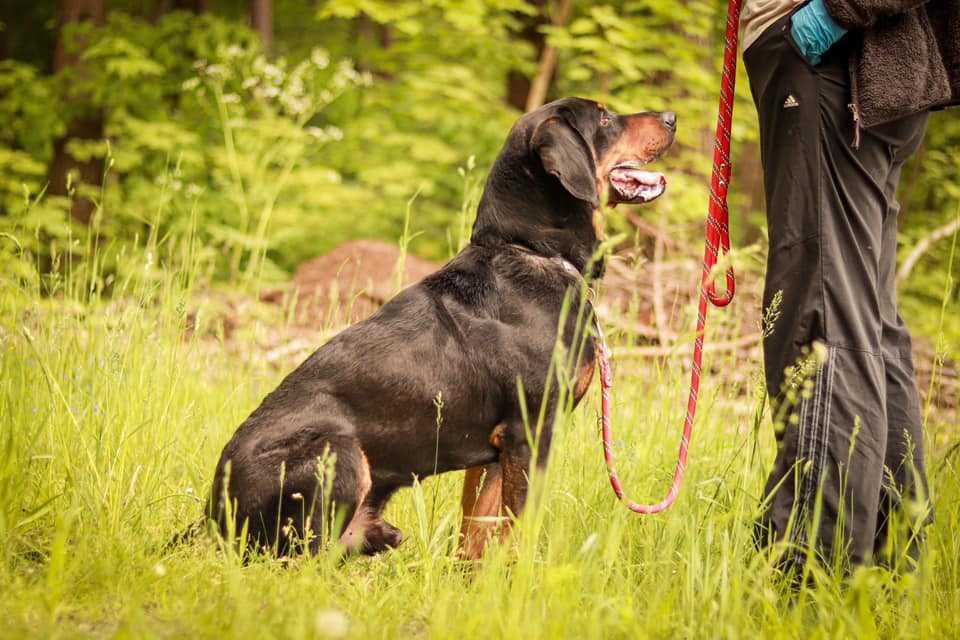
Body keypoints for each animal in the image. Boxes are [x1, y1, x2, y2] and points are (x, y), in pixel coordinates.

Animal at [202, 97, 676, 556]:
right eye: (604, 118)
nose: (671, 117)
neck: (532, 251)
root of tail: (212, 520)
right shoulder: (530, 433)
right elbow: (517, 531)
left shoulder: (494, 453)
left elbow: (476, 536)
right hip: (337, 452)